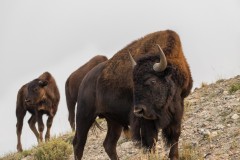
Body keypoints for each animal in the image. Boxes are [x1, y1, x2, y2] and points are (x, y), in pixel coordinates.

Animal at [73, 29, 193, 159]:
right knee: (78, 144)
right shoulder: (145, 121)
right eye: (133, 83)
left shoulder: (177, 110)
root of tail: (83, 82)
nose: (139, 110)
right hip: (84, 116)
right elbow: (151, 141)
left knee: (109, 144)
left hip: (113, 121)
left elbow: (174, 135)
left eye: (152, 81)